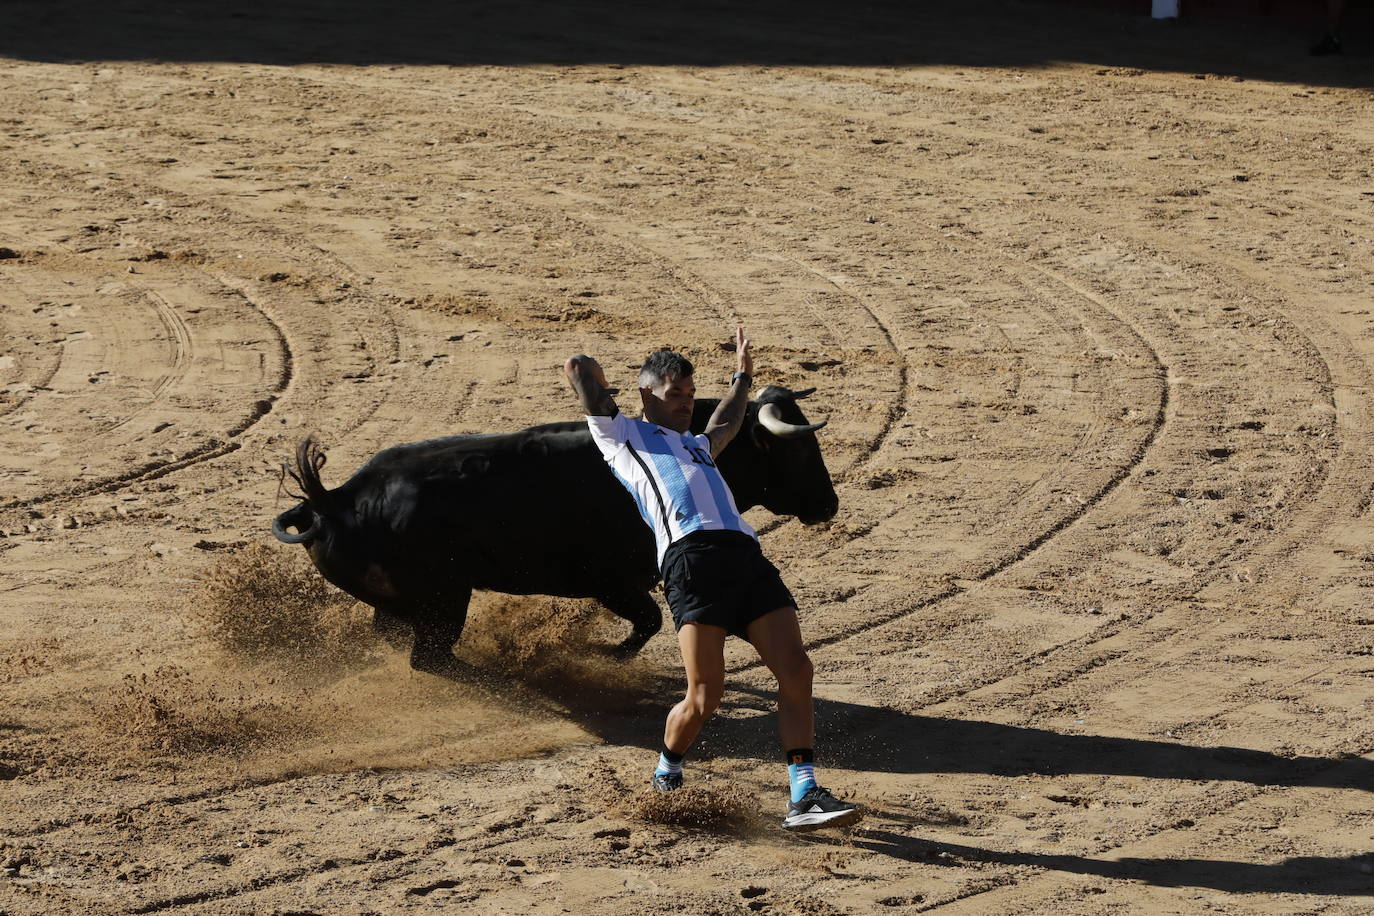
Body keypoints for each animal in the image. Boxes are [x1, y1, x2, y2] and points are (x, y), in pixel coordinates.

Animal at [270, 387, 835, 672]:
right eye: (798, 449)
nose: (829, 503)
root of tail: (333, 501)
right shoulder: (611, 582)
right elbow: (648, 622)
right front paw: (604, 657)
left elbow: (647, 623)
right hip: (444, 601)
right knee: (431, 659)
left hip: (407, 604)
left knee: (396, 641)